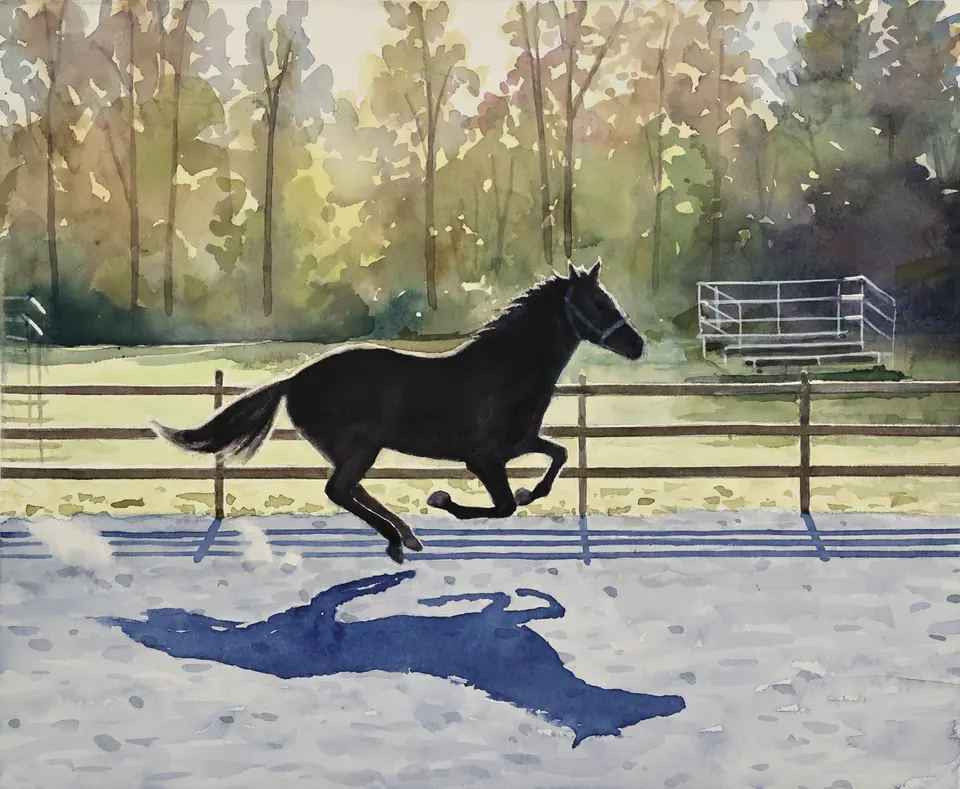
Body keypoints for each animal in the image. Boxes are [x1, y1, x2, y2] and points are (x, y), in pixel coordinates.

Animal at [152, 259, 646, 563]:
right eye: (597, 302)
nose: (637, 344)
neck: (503, 372)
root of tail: (295, 379)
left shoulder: (518, 444)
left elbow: (558, 457)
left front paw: (529, 492)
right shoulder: (484, 459)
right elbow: (503, 507)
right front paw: (443, 500)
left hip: (352, 450)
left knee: (349, 491)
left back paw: (404, 536)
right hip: (360, 447)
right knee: (339, 491)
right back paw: (399, 537)